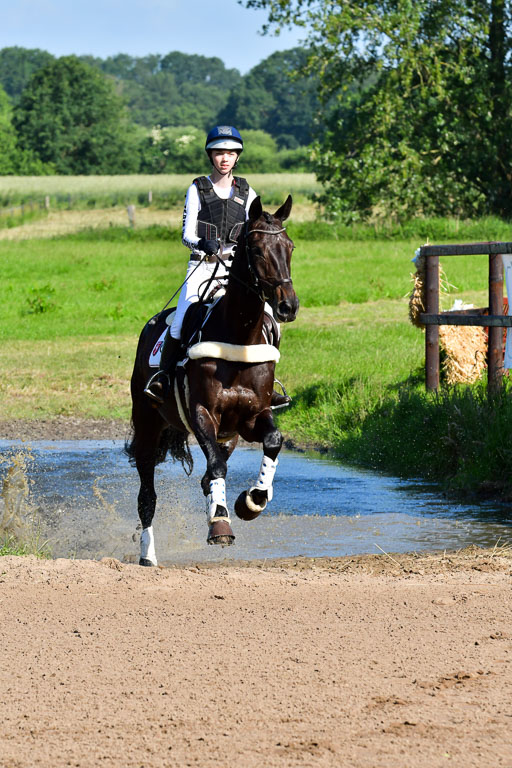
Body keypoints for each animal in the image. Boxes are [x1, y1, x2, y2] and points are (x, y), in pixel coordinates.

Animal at [126, 195, 299, 565]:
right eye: (258, 249)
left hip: (228, 435)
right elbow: (216, 468)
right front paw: (220, 523)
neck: (238, 337)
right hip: (147, 424)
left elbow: (272, 441)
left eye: (290, 247)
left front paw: (252, 500)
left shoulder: (252, 416)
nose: (288, 306)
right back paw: (148, 555)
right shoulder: (202, 412)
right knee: (147, 495)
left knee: (208, 473)